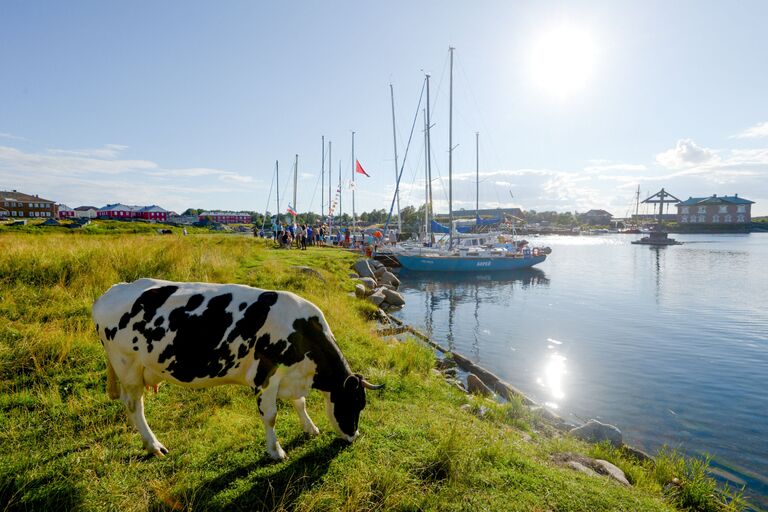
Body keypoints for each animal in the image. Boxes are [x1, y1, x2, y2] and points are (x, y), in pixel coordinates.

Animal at [94, 278, 382, 462]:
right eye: (355, 403)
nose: (353, 436)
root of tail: (113, 290)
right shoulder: (266, 377)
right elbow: (271, 416)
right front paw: (276, 451)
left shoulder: (292, 375)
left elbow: (300, 402)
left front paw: (310, 428)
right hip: (128, 366)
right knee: (135, 405)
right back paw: (154, 445)